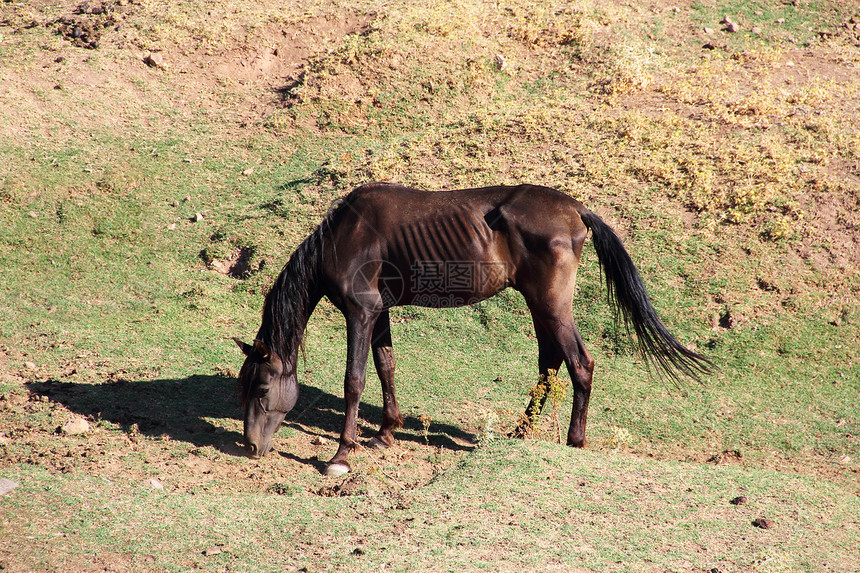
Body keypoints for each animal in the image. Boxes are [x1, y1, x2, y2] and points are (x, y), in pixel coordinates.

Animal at [232, 182, 708, 474]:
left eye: (262, 389)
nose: (251, 448)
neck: (344, 236)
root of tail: (576, 209)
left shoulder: (360, 312)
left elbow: (355, 380)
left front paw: (342, 455)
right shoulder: (379, 313)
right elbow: (386, 368)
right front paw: (385, 434)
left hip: (552, 304)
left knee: (579, 363)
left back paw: (574, 440)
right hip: (539, 303)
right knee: (549, 361)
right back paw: (520, 433)